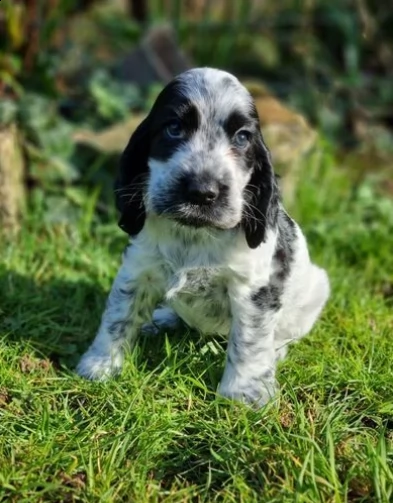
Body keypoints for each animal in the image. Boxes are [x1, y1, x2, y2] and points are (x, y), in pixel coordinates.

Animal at [76, 67, 328, 408]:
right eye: (173, 128)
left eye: (242, 137)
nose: (202, 191)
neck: (193, 233)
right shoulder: (137, 268)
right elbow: (118, 315)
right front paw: (100, 365)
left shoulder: (251, 290)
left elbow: (250, 340)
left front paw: (244, 394)